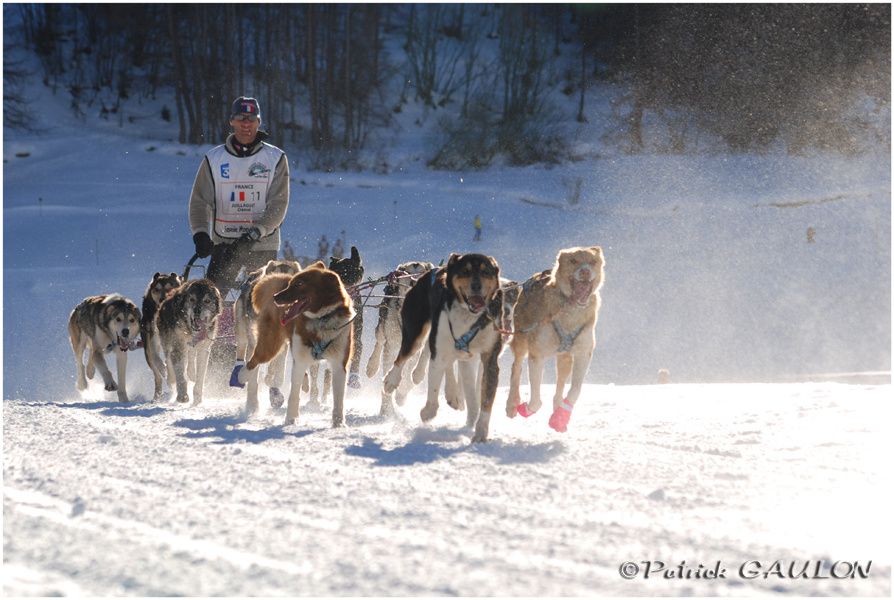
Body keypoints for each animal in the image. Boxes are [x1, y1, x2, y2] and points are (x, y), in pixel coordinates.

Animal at [142, 270, 184, 400]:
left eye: (171, 287)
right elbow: (158, 361)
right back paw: (157, 395)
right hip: (147, 351)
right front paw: (165, 370)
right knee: (157, 376)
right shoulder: (152, 343)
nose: (162, 299)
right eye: (157, 289)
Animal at [234, 258, 304, 412]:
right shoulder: (256, 341)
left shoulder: (283, 344)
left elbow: (278, 371)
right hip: (243, 332)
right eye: (273, 279)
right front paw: (253, 403)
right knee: (242, 352)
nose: (278, 297)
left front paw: (274, 390)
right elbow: (254, 374)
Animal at [247, 262, 358, 426]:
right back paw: (244, 382)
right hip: (270, 347)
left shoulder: (339, 365)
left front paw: (338, 424)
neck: (321, 320)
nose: (276, 297)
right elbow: (294, 394)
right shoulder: (299, 361)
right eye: (292, 283)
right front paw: (291, 419)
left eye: (299, 284)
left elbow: (339, 399)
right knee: (252, 363)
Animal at [384, 251, 508, 442]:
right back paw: (392, 380)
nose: (476, 286)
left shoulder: (489, 359)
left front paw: (480, 431)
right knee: (403, 356)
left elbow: (484, 400)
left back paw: (452, 394)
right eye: (465, 271)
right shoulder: (439, 351)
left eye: (485, 272)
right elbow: (434, 386)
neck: (469, 317)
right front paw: (428, 411)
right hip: (416, 334)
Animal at [508, 244, 604, 432]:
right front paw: (527, 408)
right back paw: (512, 403)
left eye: (592, 261)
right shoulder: (536, 354)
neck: (571, 312)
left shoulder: (583, 353)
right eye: (573, 261)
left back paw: (558, 409)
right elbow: (536, 401)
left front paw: (561, 417)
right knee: (516, 368)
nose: (585, 271)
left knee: (560, 383)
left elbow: (575, 390)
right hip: (522, 340)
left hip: (565, 357)